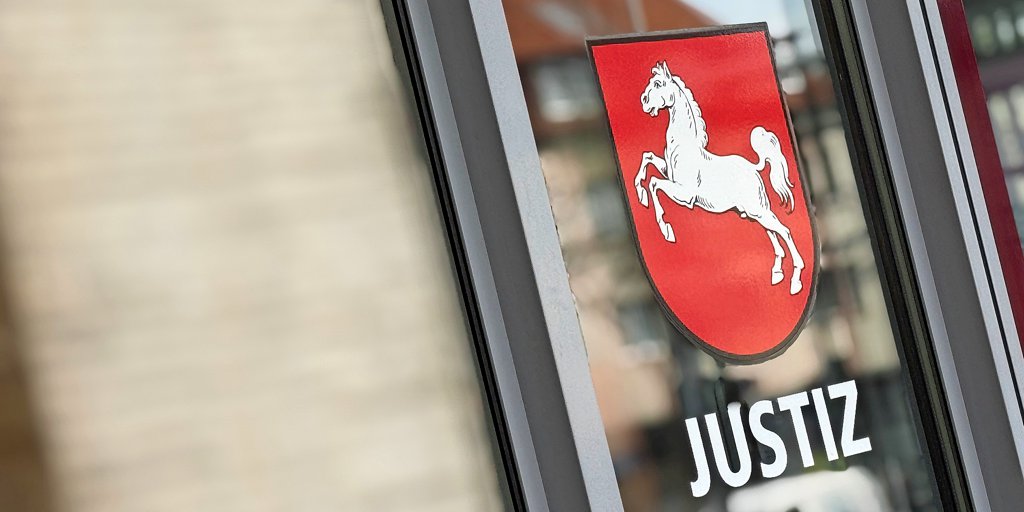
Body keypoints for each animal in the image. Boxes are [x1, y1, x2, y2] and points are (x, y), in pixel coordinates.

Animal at [634, 61, 805, 295]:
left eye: (659, 84)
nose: (643, 101)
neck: (684, 146)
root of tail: (753, 167)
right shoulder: (668, 172)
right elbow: (647, 158)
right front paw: (640, 194)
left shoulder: (685, 194)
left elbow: (654, 184)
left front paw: (666, 230)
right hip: (756, 212)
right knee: (773, 234)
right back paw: (777, 273)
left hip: (758, 210)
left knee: (785, 231)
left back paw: (796, 281)